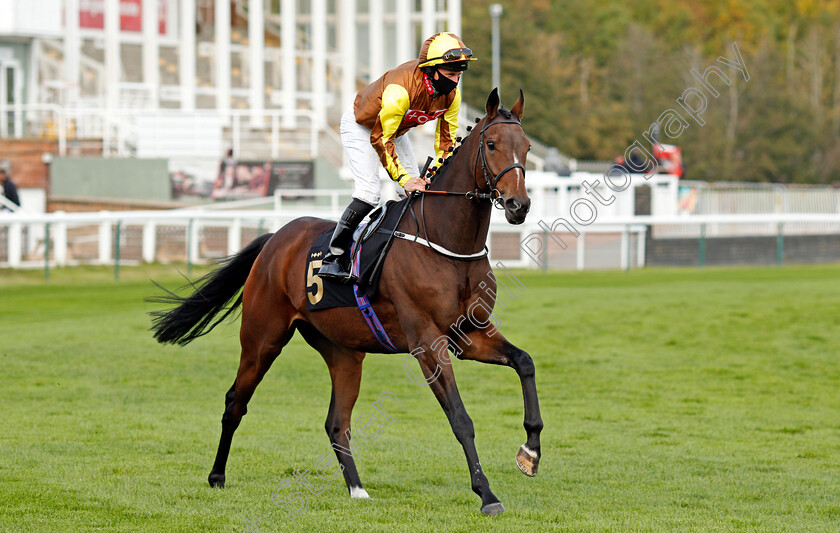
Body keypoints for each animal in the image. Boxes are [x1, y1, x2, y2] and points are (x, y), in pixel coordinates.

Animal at [149, 88, 544, 516]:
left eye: (526, 146)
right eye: (492, 144)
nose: (519, 205)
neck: (446, 241)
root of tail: (274, 239)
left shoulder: (469, 333)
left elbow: (525, 361)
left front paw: (530, 452)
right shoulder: (427, 340)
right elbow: (460, 417)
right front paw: (487, 494)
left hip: (343, 351)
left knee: (336, 423)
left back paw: (356, 488)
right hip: (262, 338)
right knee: (236, 401)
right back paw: (217, 476)